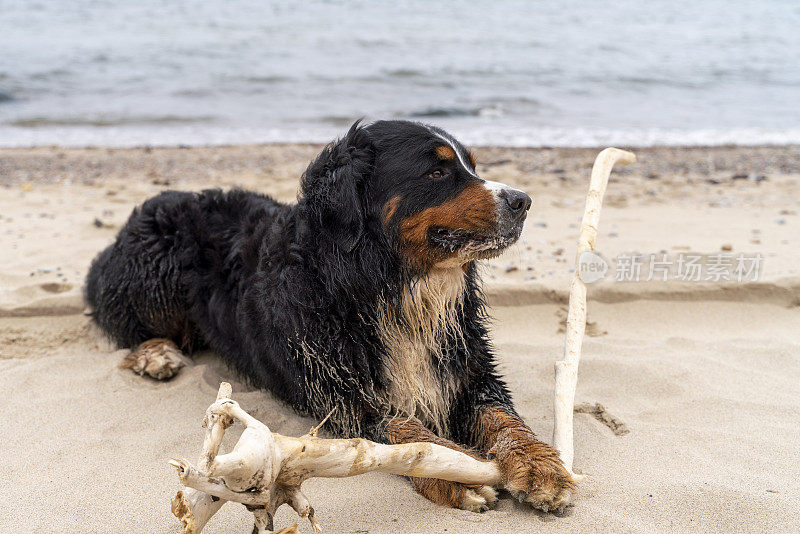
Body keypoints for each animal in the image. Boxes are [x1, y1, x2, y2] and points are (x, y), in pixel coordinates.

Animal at [86, 120, 576, 516]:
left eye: (472, 166)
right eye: (436, 172)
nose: (522, 201)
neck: (387, 286)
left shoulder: (468, 370)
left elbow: (505, 419)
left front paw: (541, 466)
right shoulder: (344, 396)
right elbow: (409, 434)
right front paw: (458, 472)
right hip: (156, 277)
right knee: (126, 324)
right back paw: (157, 355)